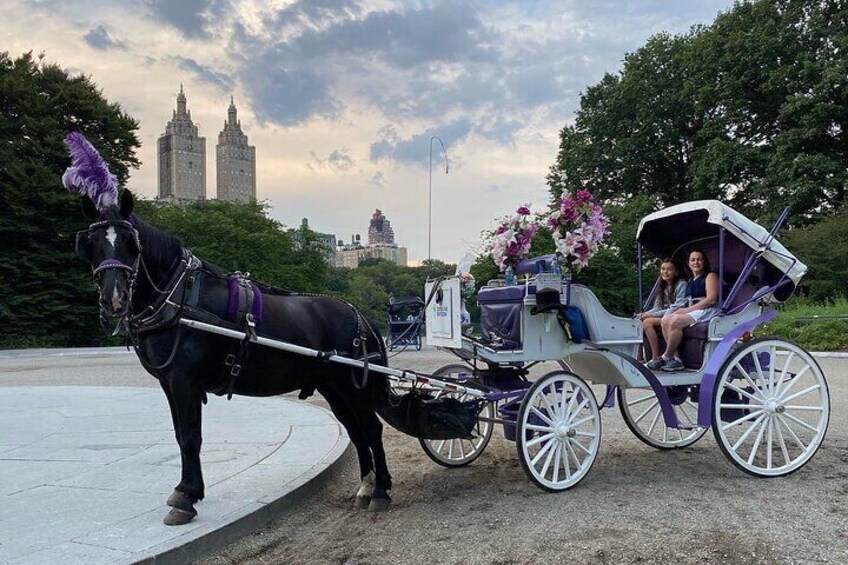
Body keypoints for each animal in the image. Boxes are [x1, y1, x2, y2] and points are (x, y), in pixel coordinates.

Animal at [74, 189, 392, 524]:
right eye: (91, 243)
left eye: (130, 242)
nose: (115, 299)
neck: (178, 298)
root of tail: (358, 314)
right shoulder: (168, 383)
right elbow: (180, 435)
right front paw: (186, 490)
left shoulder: (184, 381)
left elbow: (190, 436)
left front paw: (186, 498)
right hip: (333, 387)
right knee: (356, 430)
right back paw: (366, 486)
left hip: (351, 386)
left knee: (371, 428)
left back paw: (381, 491)